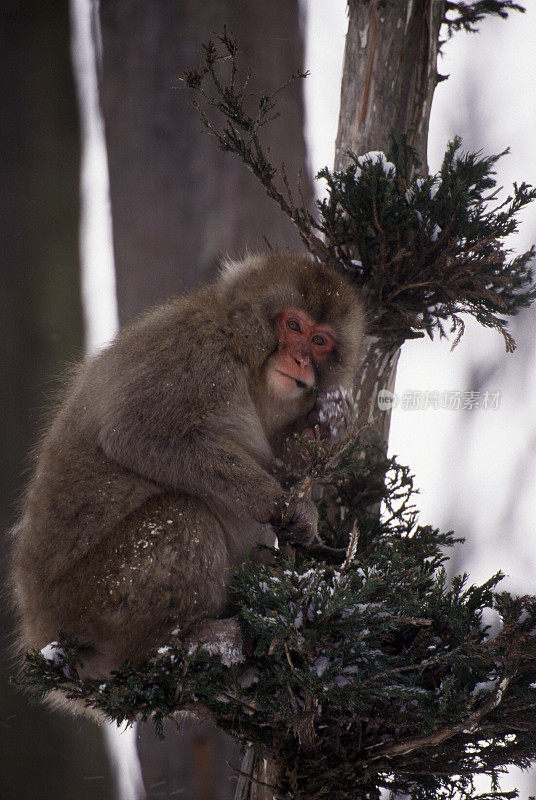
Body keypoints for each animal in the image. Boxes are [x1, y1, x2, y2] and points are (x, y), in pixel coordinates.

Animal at [11, 255, 364, 680]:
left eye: (320, 341)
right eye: (293, 326)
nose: (300, 361)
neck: (245, 361)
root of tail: (39, 627)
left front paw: (325, 425)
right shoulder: (198, 352)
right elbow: (138, 434)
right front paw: (279, 502)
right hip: (92, 601)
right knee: (182, 515)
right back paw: (184, 640)